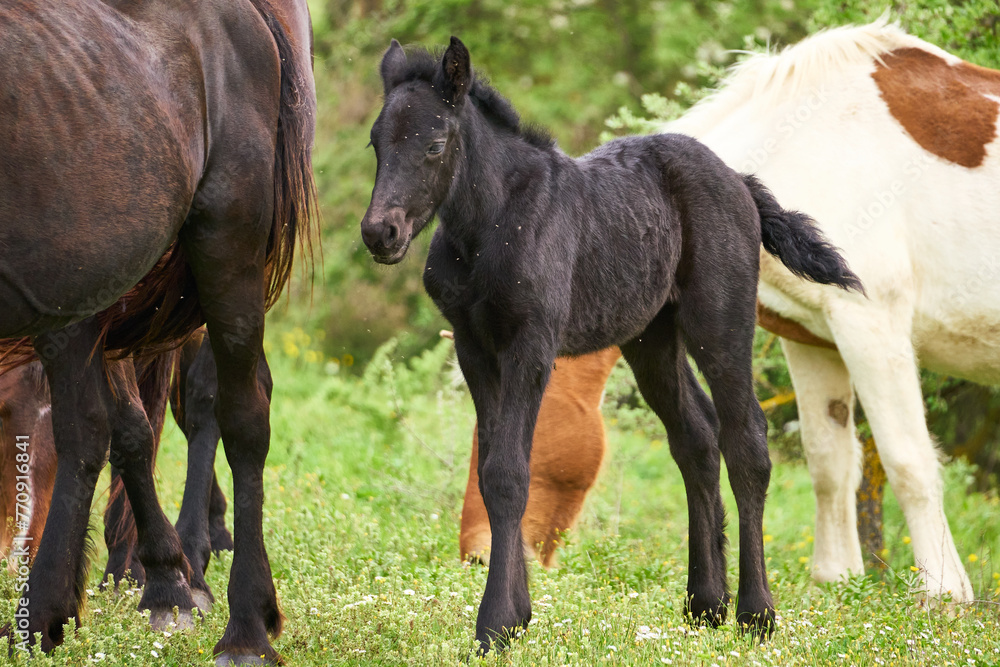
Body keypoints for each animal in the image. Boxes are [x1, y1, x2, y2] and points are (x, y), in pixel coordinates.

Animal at [0, 0, 316, 664]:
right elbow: (125, 429)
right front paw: (154, 579)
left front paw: (170, 579)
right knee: (104, 427)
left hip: (222, 251)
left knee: (235, 413)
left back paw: (241, 623)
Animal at [364, 37, 864, 652]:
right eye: (376, 141)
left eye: (435, 145)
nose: (379, 233)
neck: (492, 226)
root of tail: (738, 179)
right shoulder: (473, 346)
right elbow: (491, 468)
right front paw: (519, 613)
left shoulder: (531, 344)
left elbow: (508, 473)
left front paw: (496, 623)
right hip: (651, 337)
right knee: (696, 437)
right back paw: (705, 603)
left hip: (719, 323)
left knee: (746, 440)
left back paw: (756, 614)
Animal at [460, 19, 992, 604]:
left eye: (536, 424)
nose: (475, 553)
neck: (804, 142)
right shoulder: (814, 340)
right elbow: (829, 462)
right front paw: (835, 579)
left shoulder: (872, 324)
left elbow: (908, 461)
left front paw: (945, 594)